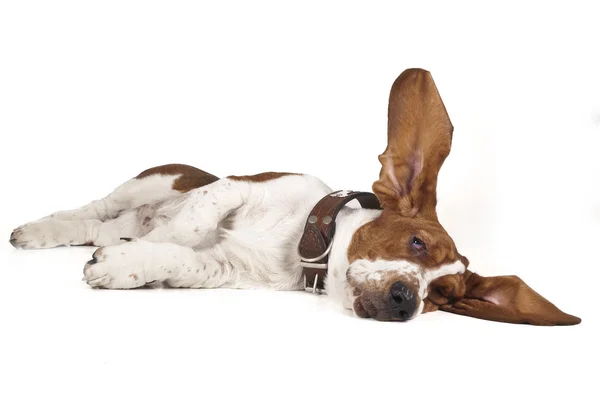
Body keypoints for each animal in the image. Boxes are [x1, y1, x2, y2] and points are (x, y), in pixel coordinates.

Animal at [8, 69, 580, 326]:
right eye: (416, 242)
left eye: (441, 297)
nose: (406, 302)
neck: (303, 242)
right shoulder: (236, 187)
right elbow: (191, 224)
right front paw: (151, 240)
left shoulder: (224, 268)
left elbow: (177, 256)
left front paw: (128, 263)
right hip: (155, 179)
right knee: (89, 213)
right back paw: (40, 231)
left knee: (96, 227)